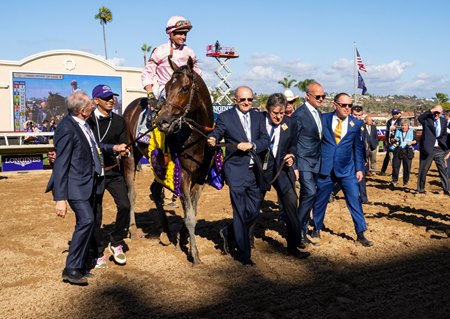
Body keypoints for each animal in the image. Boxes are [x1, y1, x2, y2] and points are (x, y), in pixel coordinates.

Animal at [122, 57, 215, 264]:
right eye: (166, 87)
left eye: (185, 88)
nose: (162, 121)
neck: (195, 139)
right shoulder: (185, 176)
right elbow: (190, 216)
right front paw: (194, 254)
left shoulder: (201, 178)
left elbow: (192, 211)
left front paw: (182, 236)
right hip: (130, 156)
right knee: (131, 193)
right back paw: (132, 228)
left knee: (155, 191)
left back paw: (165, 232)